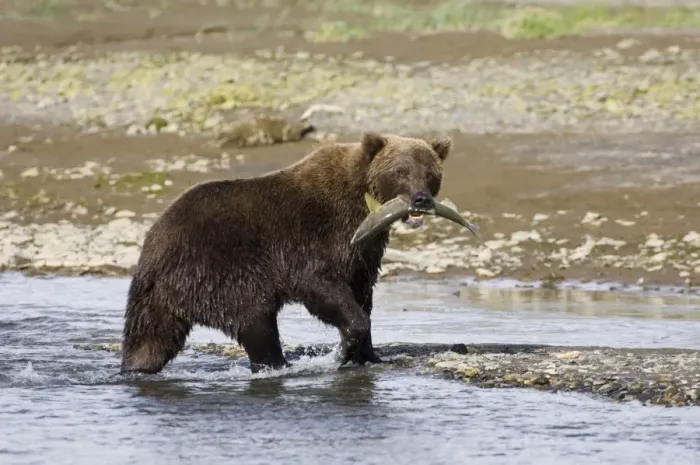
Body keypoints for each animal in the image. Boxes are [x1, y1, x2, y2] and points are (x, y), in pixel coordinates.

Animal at [119, 131, 452, 375]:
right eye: (400, 170)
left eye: (431, 173)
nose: (421, 199)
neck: (363, 204)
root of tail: (151, 250)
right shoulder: (318, 239)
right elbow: (322, 287)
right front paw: (346, 348)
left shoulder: (364, 254)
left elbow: (362, 294)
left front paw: (370, 355)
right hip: (219, 270)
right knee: (256, 321)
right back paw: (279, 365)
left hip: (163, 297)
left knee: (152, 337)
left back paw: (137, 365)